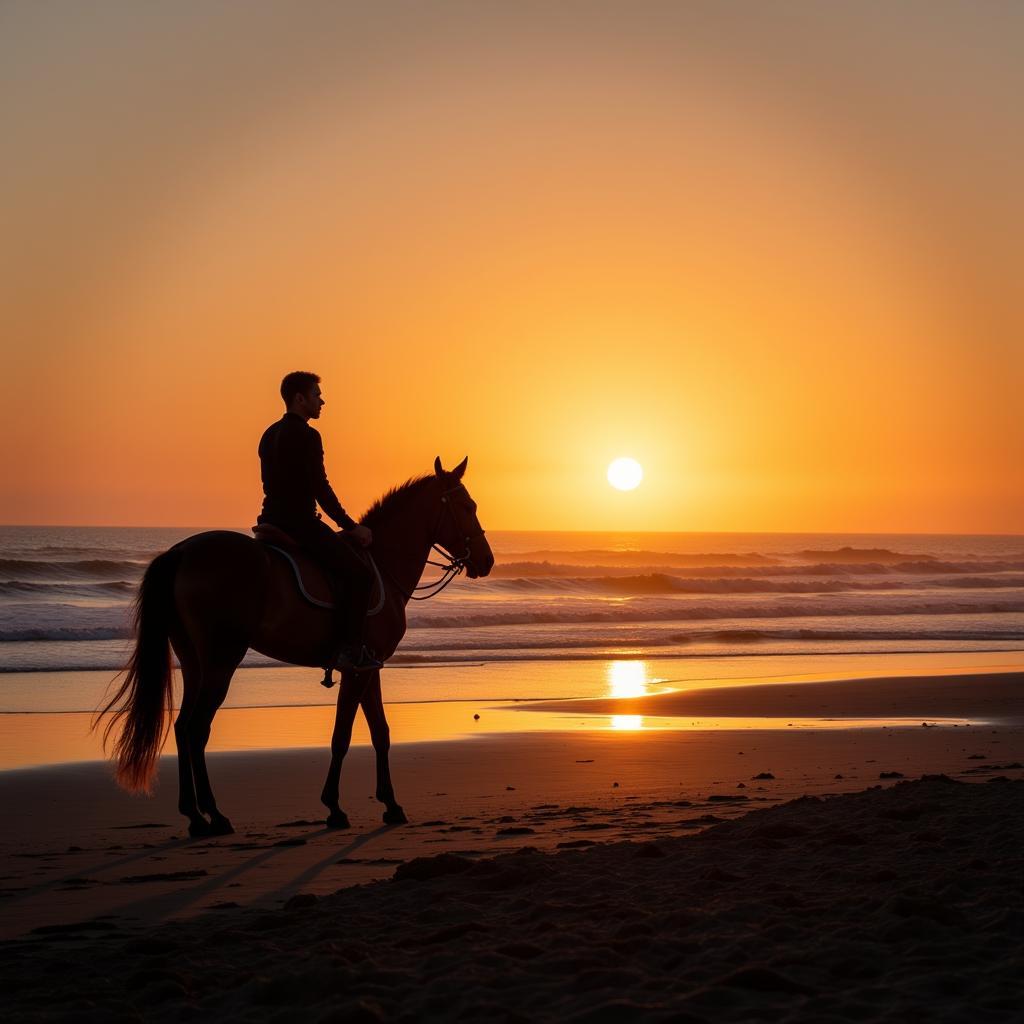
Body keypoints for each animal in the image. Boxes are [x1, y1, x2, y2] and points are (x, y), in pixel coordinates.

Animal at [97, 460, 493, 835]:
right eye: (468, 506)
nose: (487, 560)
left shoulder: (369, 666)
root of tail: (181, 552)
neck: (382, 563)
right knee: (196, 729)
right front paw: (334, 807)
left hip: (194, 661)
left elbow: (381, 733)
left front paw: (391, 805)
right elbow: (342, 736)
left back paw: (194, 816)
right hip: (222, 660)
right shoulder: (357, 669)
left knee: (181, 728)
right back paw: (215, 815)